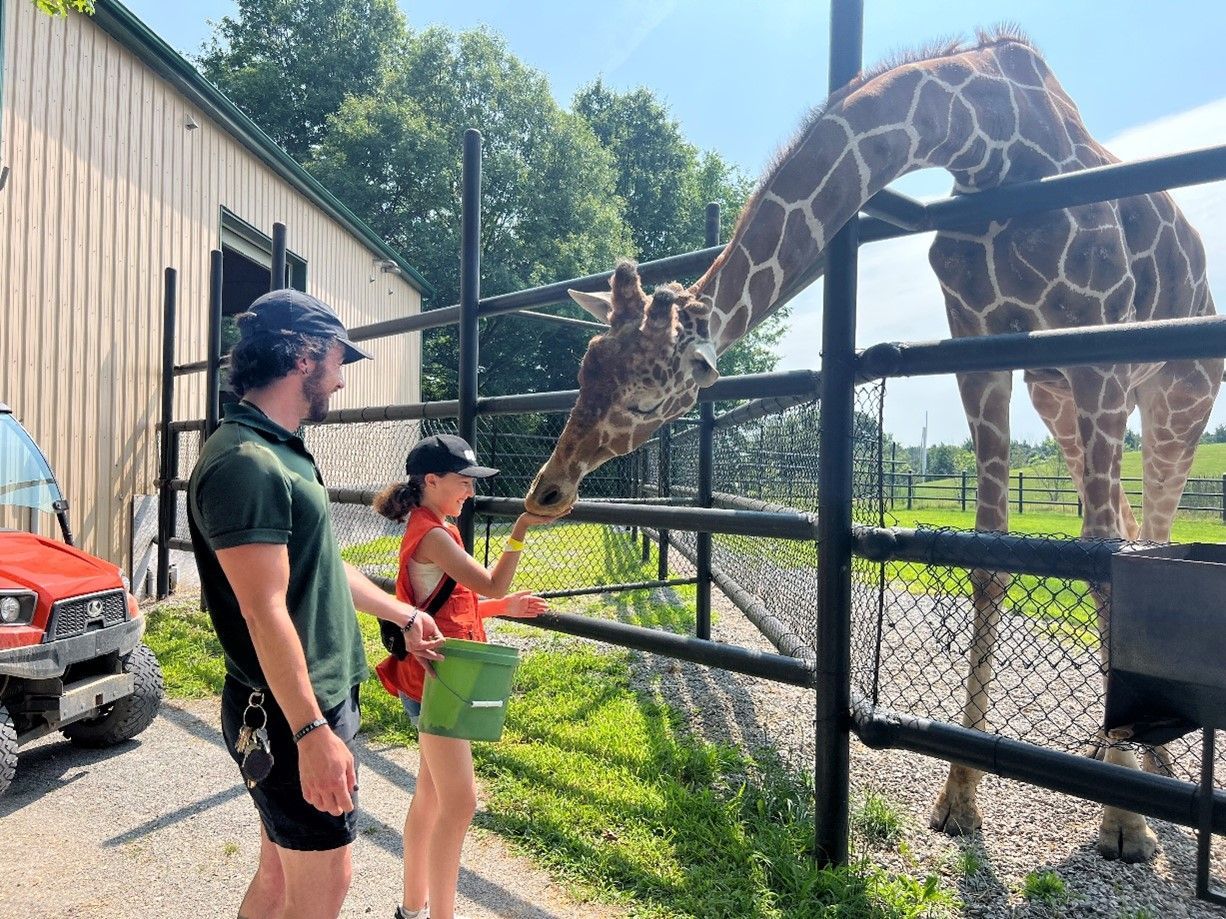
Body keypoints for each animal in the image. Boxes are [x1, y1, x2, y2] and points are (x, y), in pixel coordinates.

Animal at [524, 29, 1222, 862]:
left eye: (644, 397)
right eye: (583, 369)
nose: (546, 490)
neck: (988, 139)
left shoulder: (1097, 345)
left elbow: (1104, 562)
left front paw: (1125, 824)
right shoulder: (980, 344)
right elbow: (990, 558)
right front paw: (960, 796)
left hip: (1176, 393)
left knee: (1149, 530)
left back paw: (1143, 768)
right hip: (1059, 396)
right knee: (1128, 519)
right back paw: (1130, 750)